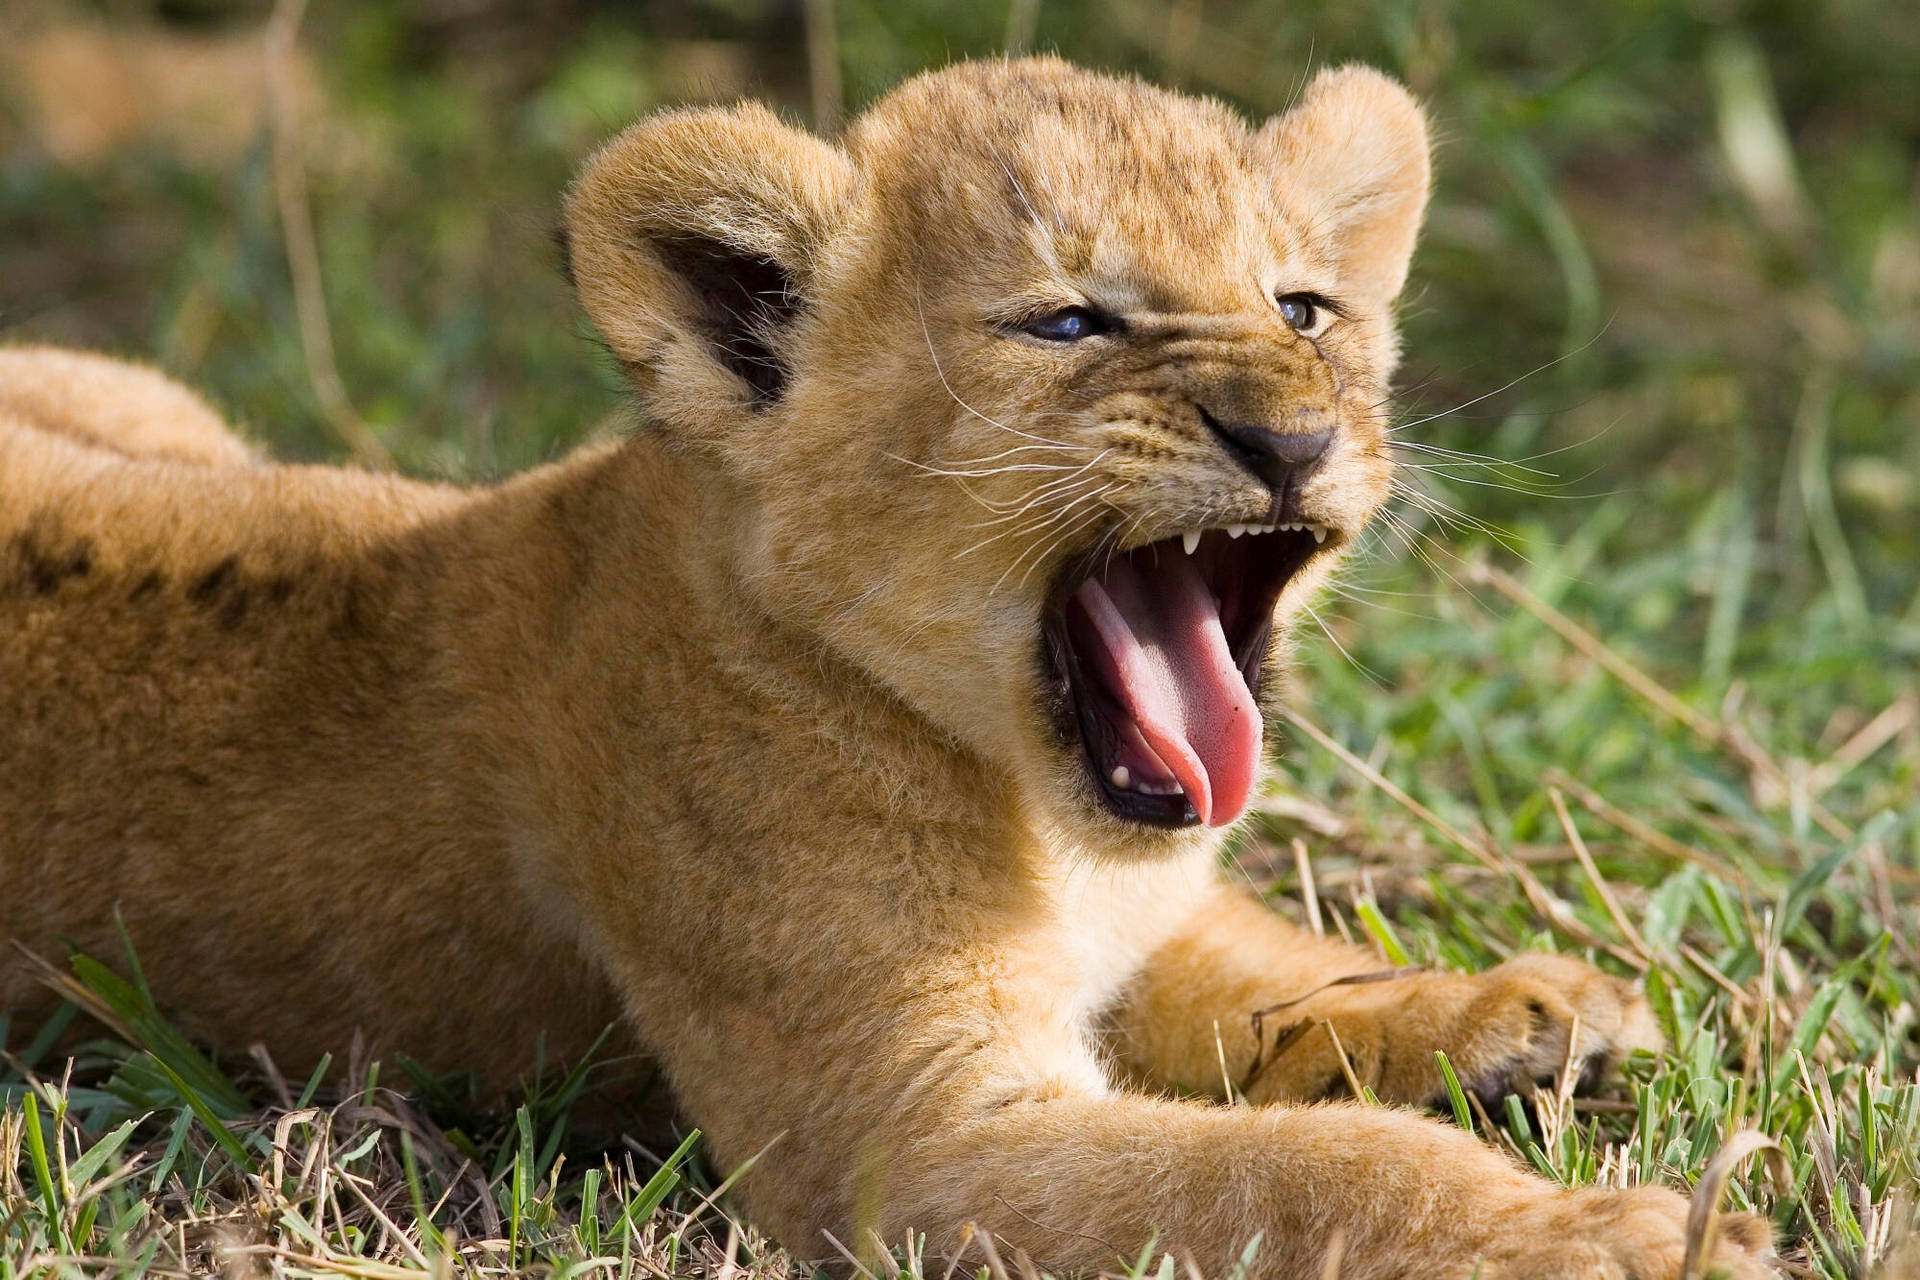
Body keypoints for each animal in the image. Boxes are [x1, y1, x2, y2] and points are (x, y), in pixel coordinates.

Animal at [1, 58, 1775, 1278]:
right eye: (1068, 325)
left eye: (1302, 308)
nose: (1290, 436)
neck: (1037, 810)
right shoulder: (902, 1148)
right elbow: (1302, 1171)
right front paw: (1629, 1235)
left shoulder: (1136, 925)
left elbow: (1272, 973)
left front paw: (1517, 1008)